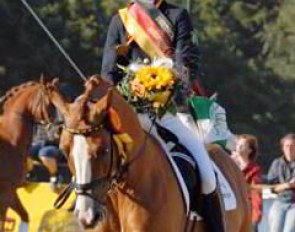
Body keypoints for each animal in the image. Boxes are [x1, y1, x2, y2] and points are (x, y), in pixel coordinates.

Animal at [0, 79, 59, 231]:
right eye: (49, 103)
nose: (58, 129)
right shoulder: (7, 190)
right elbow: (22, 216)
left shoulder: (8, 193)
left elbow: (22, 216)